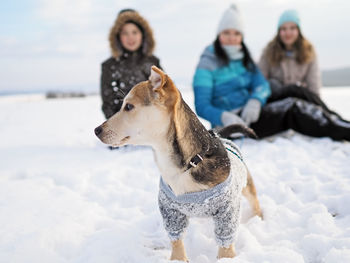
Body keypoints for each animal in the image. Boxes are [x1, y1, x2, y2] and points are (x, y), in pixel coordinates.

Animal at [94, 65, 262, 262]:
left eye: (128, 106)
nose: (96, 130)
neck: (187, 165)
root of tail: (223, 137)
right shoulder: (170, 210)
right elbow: (175, 239)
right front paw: (178, 258)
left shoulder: (228, 210)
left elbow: (225, 241)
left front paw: (226, 258)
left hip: (247, 185)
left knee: (254, 200)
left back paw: (260, 218)